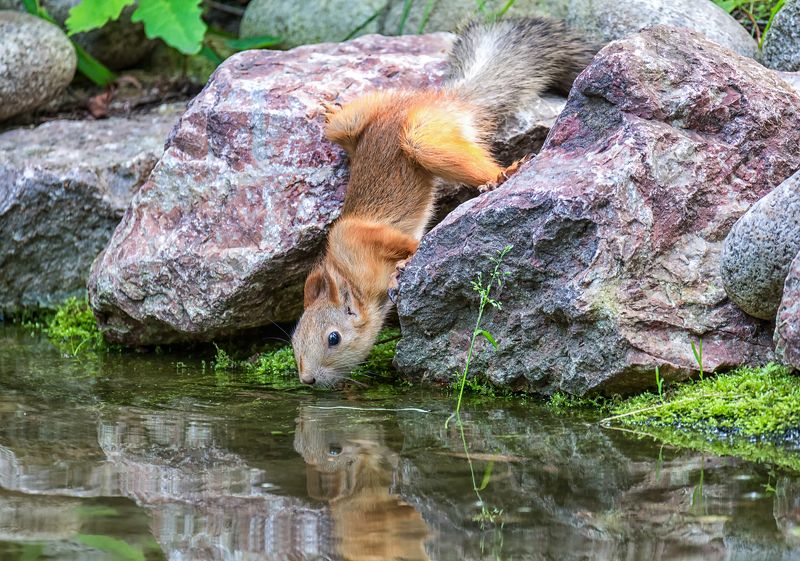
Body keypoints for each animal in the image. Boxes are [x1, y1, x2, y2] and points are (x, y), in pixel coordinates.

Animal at [291, 17, 597, 386]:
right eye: (294, 341)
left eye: (333, 338)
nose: (307, 380)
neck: (347, 275)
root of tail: (445, 98)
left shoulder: (358, 238)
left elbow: (404, 242)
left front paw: (403, 267)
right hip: (351, 126)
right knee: (345, 123)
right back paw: (332, 108)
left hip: (424, 137)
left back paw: (502, 174)